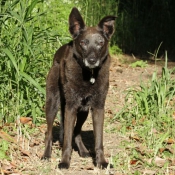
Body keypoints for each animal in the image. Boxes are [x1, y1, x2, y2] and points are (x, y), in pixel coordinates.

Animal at [42, 7, 116, 170]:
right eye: (83, 42)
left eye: (100, 43)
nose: (92, 60)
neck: (89, 74)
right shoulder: (70, 107)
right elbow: (66, 141)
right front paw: (64, 162)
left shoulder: (98, 108)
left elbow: (98, 140)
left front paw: (101, 162)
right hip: (53, 104)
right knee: (49, 133)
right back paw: (46, 154)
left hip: (84, 111)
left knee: (76, 132)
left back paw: (83, 151)